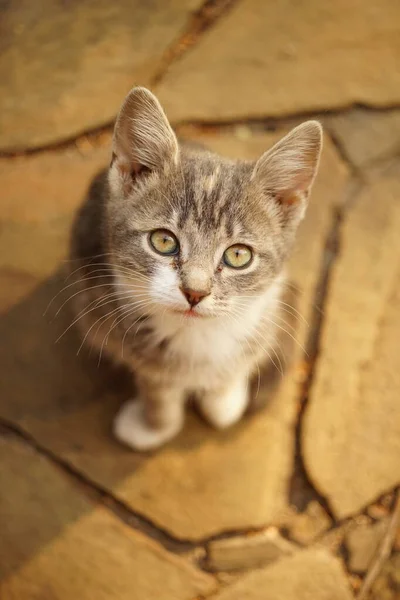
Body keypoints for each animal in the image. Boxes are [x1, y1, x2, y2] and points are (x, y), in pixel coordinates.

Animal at [69, 85, 322, 450]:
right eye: (163, 241)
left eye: (238, 256)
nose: (195, 292)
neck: (199, 336)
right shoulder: (132, 342)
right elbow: (159, 391)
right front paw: (153, 426)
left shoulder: (269, 306)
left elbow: (235, 375)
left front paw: (225, 400)